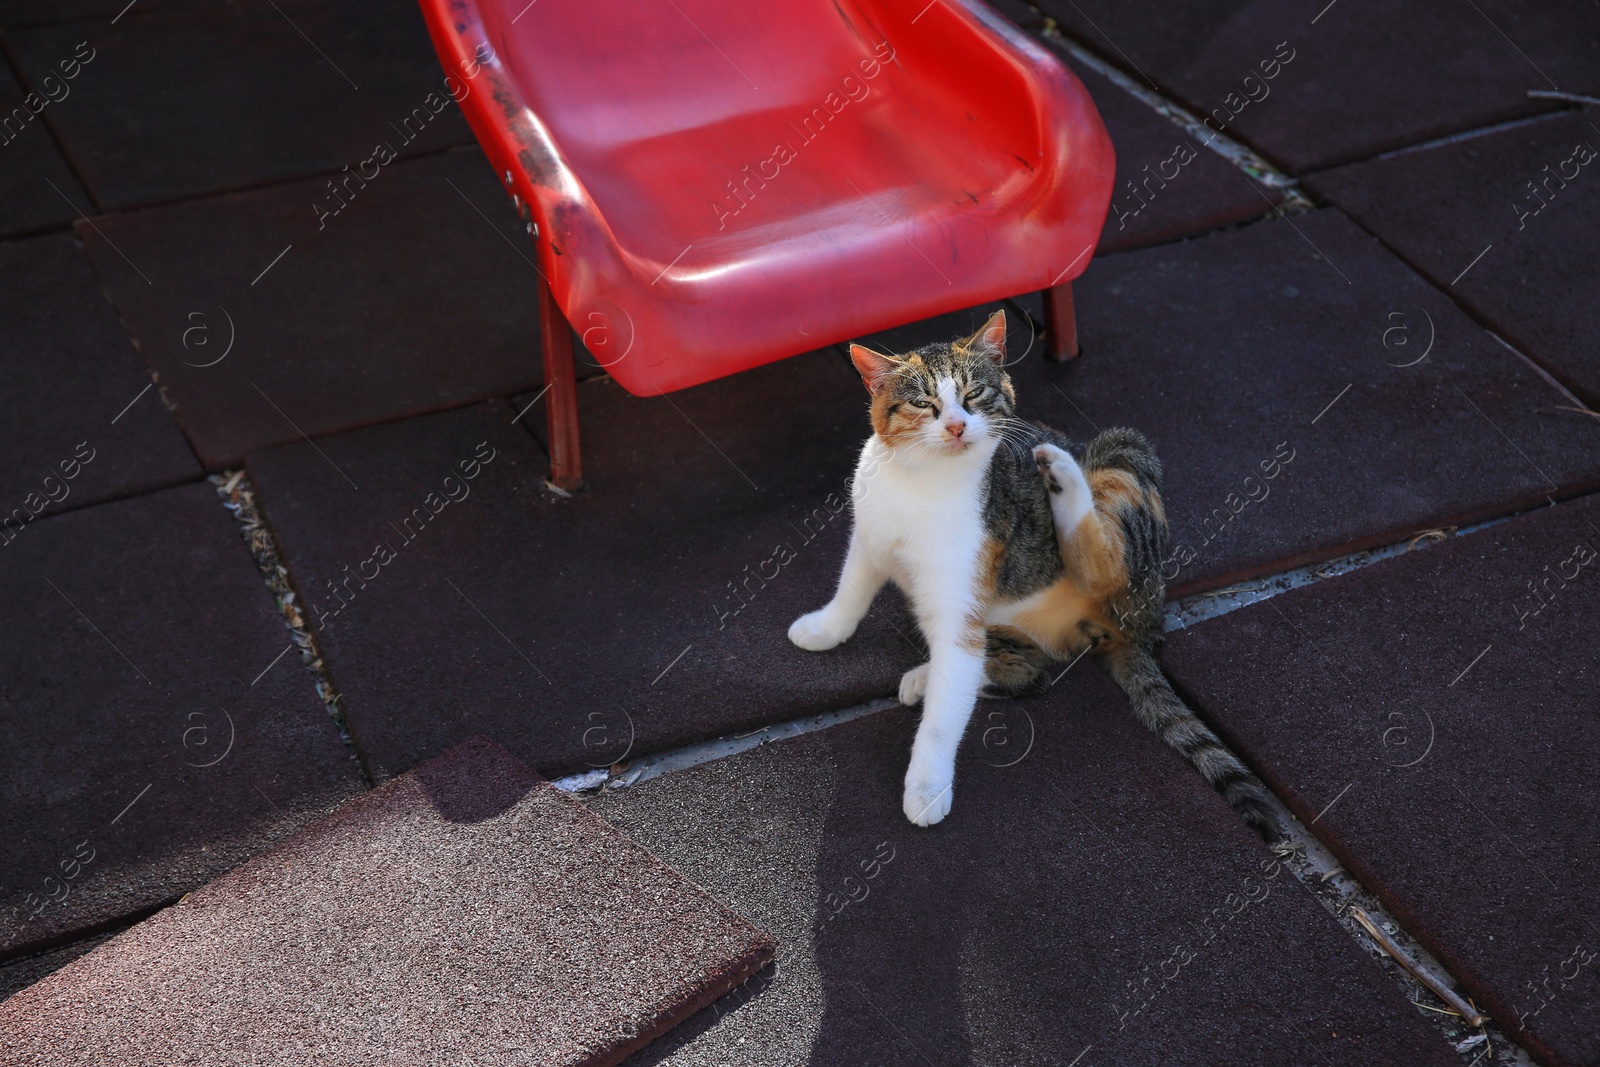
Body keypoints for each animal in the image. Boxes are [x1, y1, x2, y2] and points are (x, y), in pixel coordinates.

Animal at [793, 310, 1280, 844]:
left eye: (974, 393)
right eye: (923, 402)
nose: (957, 425)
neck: (919, 479)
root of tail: (1142, 630)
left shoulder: (960, 596)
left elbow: (945, 711)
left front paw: (926, 788)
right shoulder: (871, 534)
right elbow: (853, 585)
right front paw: (825, 628)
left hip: (1125, 464)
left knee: (1100, 563)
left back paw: (1064, 475)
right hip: (1006, 625)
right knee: (1029, 676)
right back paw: (929, 677)